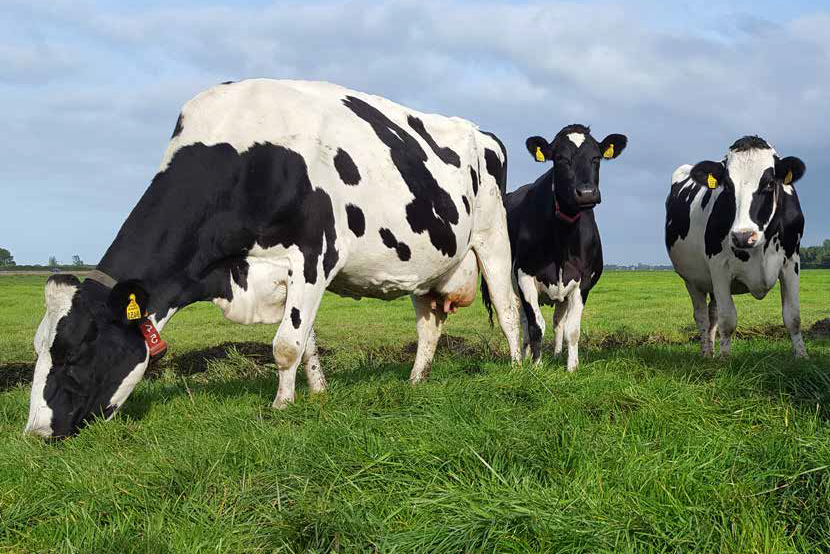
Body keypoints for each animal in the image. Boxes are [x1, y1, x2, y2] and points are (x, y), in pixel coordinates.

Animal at [25, 79, 522, 438]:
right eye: (40, 349)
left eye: (73, 351)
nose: (36, 433)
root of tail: (483, 132)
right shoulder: (280, 272)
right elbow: (307, 342)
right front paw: (317, 393)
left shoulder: (315, 253)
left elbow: (286, 344)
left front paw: (282, 405)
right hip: (426, 265)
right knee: (428, 325)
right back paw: (416, 381)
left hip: (493, 238)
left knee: (510, 310)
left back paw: (519, 368)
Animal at [483, 124, 628, 371]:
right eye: (560, 159)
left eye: (596, 157)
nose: (586, 193)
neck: (563, 240)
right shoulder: (524, 276)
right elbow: (535, 326)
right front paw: (536, 366)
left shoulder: (583, 280)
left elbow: (572, 329)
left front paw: (571, 368)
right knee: (525, 321)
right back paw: (526, 354)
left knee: (559, 322)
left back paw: (558, 354)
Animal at [665, 135, 807, 358]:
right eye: (727, 185)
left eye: (769, 183)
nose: (743, 236)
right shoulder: (719, 267)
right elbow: (728, 319)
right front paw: (725, 359)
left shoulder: (791, 261)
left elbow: (793, 316)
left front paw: (802, 356)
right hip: (692, 278)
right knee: (702, 316)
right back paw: (707, 354)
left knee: (712, 313)